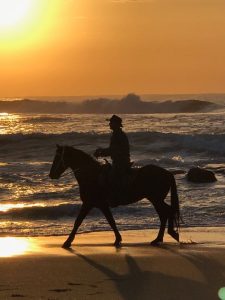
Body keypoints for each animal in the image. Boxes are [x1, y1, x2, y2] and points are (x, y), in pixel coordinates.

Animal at [49, 145, 181, 248]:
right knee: (165, 213)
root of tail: (168, 173)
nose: (51, 175)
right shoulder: (101, 205)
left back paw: (165, 236)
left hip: (156, 199)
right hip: (156, 199)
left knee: (166, 213)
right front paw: (118, 239)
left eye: (57, 158)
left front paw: (67, 242)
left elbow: (78, 221)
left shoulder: (89, 203)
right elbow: (111, 221)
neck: (91, 175)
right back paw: (160, 238)